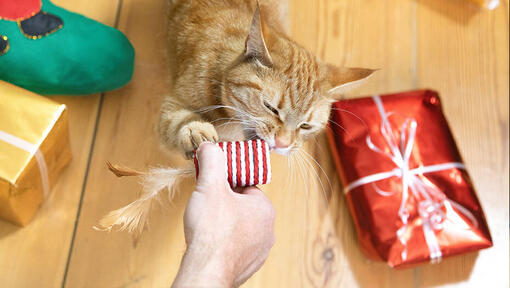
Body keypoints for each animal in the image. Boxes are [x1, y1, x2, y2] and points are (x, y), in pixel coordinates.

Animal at [160, 0, 374, 158]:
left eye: (305, 125)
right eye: (270, 108)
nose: (282, 143)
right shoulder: (171, 105)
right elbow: (176, 120)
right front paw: (194, 130)